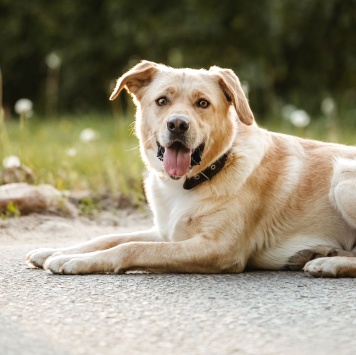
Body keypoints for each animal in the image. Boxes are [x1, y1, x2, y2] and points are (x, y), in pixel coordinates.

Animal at [26, 60, 356, 278]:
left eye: (202, 103)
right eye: (162, 100)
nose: (177, 124)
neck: (189, 182)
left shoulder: (219, 249)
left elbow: (130, 248)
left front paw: (74, 261)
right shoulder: (168, 232)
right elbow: (107, 238)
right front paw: (55, 251)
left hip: (342, 177)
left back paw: (327, 263)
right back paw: (317, 254)